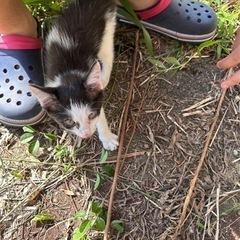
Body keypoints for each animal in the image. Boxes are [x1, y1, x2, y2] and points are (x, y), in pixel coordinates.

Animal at [29, 0, 119, 150]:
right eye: (70, 121)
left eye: (91, 115)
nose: (86, 134)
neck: (67, 76)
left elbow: (100, 113)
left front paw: (107, 138)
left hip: (107, 29)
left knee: (108, 55)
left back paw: (104, 76)